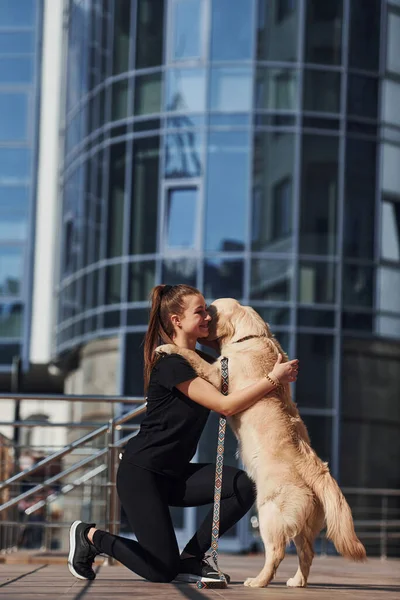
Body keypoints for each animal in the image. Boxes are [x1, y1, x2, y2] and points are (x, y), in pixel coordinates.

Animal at [155, 298, 366, 588]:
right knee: (307, 552)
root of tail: (317, 471)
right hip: (303, 523)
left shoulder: (217, 375)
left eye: (208, 310)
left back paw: (258, 581)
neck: (250, 336)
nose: (203, 321)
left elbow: (193, 355)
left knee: (276, 552)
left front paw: (167, 347)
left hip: (268, 514)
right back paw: (297, 581)